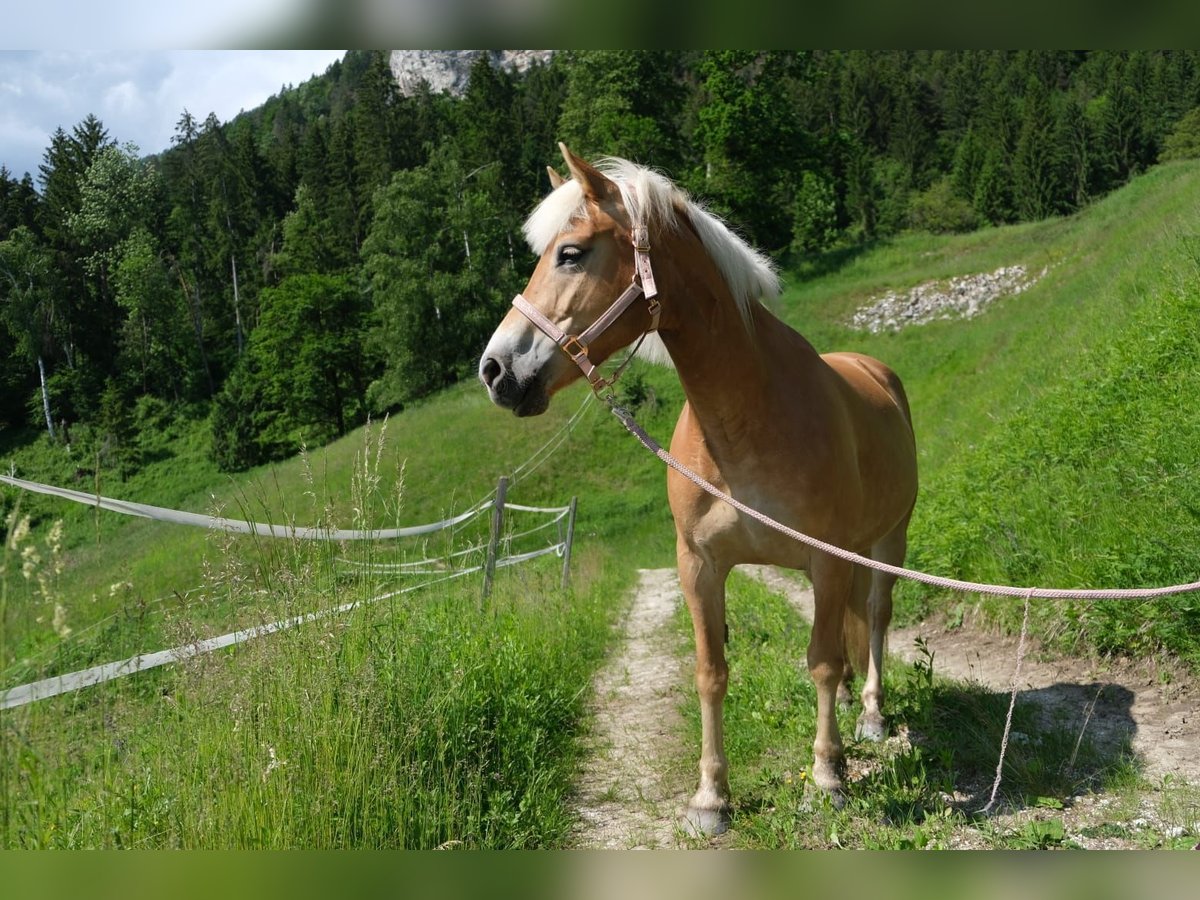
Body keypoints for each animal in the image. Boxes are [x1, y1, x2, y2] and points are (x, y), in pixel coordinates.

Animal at [477, 142, 916, 840]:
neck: (748, 419)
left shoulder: (825, 560)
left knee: (872, 616)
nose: (495, 371)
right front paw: (711, 797)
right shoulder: (699, 566)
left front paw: (827, 776)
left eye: (570, 253)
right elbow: (711, 673)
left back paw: (870, 714)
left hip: (885, 542)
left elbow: (819, 661)